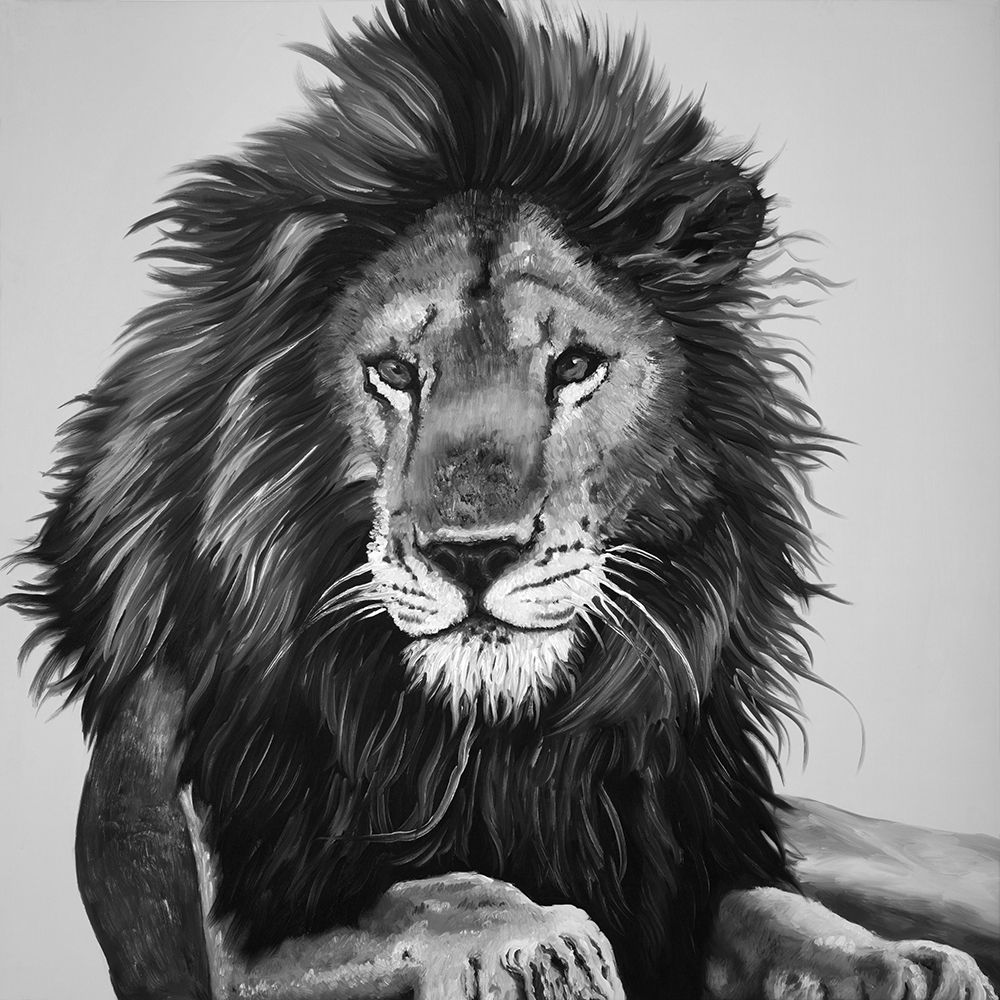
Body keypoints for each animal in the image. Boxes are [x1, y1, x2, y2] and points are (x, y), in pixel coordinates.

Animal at [6, 2, 996, 999]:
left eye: (574, 366)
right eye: (396, 372)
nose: (474, 554)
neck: (501, 745)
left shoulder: (691, 857)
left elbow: (781, 911)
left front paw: (904, 964)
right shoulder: (237, 939)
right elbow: (439, 890)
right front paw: (542, 943)